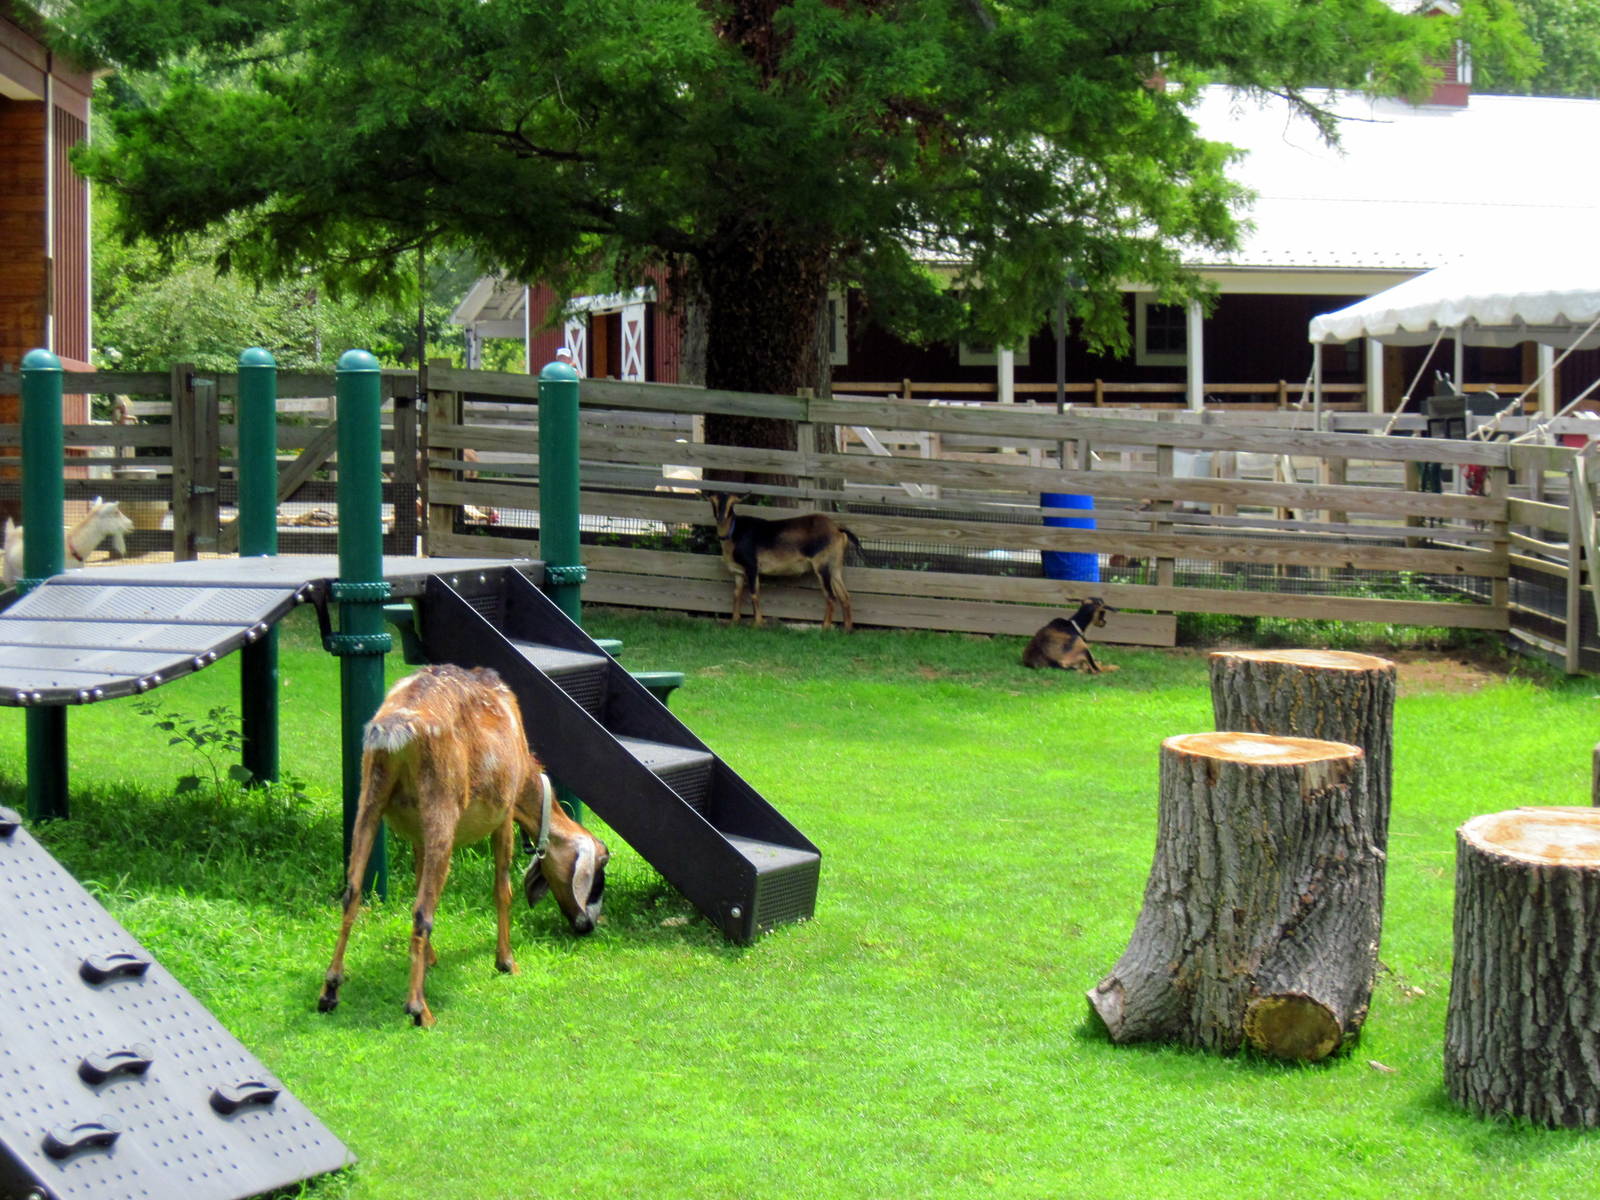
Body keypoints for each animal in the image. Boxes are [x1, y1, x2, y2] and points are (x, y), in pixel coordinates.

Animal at [317, 664, 609, 1027]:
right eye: (602, 864)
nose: (588, 926)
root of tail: (395, 730)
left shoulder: (417, 834)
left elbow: (417, 879)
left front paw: (430, 958)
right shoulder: (504, 811)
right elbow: (502, 889)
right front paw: (506, 961)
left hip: (371, 795)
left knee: (352, 892)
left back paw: (330, 991)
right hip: (443, 803)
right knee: (422, 911)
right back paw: (418, 1008)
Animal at [707, 492, 863, 631]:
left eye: (732, 503)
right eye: (713, 501)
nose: (720, 518)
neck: (734, 533)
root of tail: (838, 529)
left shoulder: (752, 567)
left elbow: (754, 594)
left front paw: (757, 624)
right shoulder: (738, 572)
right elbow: (736, 594)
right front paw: (734, 622)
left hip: (822, 567)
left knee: (831, 597)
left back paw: (824, 628)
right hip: (835, 567)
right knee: (844, 596)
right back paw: (847, 629)